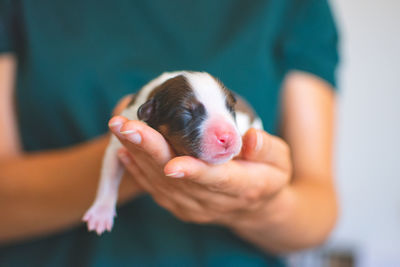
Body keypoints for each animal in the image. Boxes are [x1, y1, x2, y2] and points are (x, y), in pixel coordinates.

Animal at [82, 71, 262, 237]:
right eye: (187, 113)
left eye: (231, 109)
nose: (228, 137)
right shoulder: (121, 135)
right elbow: (110, 172)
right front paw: (101, 213)